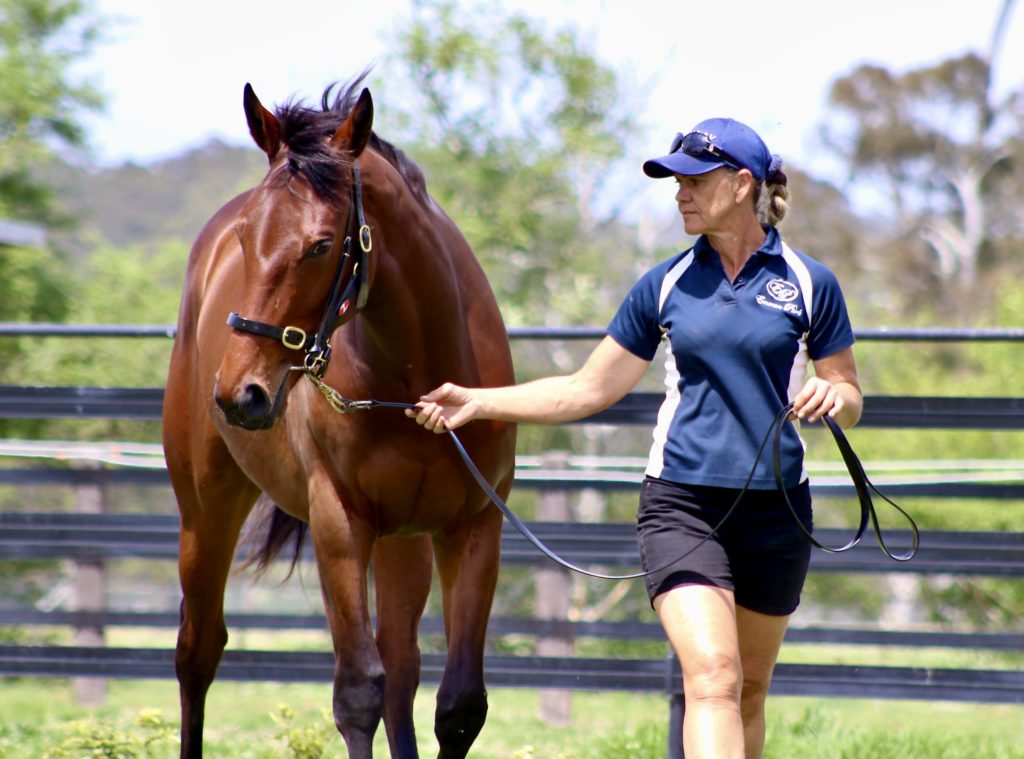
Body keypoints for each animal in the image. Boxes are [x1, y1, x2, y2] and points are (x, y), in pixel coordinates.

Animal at [161, 75, 517, 758]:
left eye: (321, 245)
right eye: (246, 237)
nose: (239, 395)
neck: (414, 377)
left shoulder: (474, 526)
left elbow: (459, 704)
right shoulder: (339, 522)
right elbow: (358, 694)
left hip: (404, 542)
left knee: (402, 669)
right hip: (206, 507)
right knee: (198, 651)